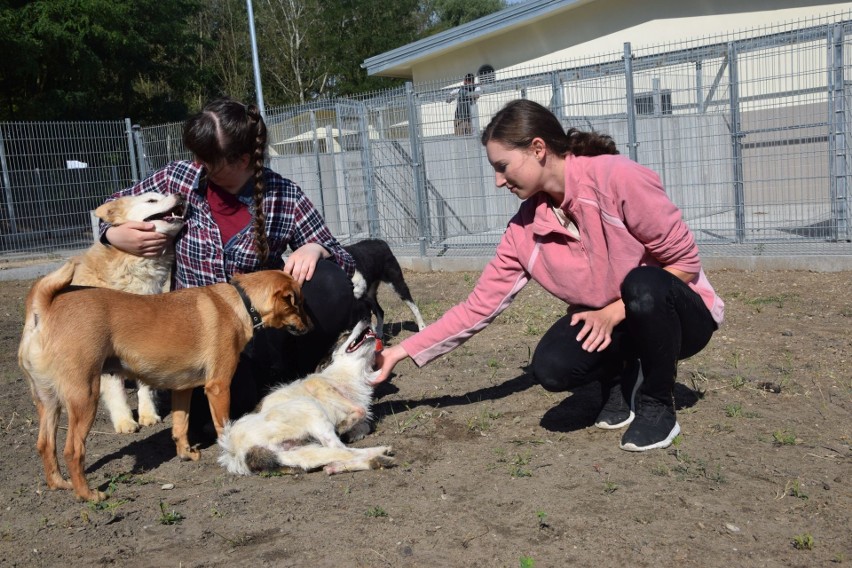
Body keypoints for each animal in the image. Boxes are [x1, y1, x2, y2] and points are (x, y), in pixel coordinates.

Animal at [18, 262, 312, 502]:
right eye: (299, 304)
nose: (310, 326)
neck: (240, 301)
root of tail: (43, 308)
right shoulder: (218, 386)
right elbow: (223, 425)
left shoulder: (182, 390)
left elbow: (180, 427)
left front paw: (186, 454)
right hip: (84, 398)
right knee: (72, 450)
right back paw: (88, 494)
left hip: (48, 401)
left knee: (45, 444)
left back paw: (59, 484)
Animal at [73, 191, 186, 430]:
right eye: (151, 200)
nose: (180, 193)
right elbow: (115, 389)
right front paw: (124, 421)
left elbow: (145, 385)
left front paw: (148, 414)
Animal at [218, 320, 394, 474]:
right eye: (345, 334)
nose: (366, 318)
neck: (351, 374)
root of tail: (237, 451)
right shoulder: (320, 386)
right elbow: (360, 410)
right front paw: (343, 426)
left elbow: (365, 424)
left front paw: (351, 431)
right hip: (308, 406)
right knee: (338, 448)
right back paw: (377, 453)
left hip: (297, 451)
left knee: (330, 454)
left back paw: (367, 460)